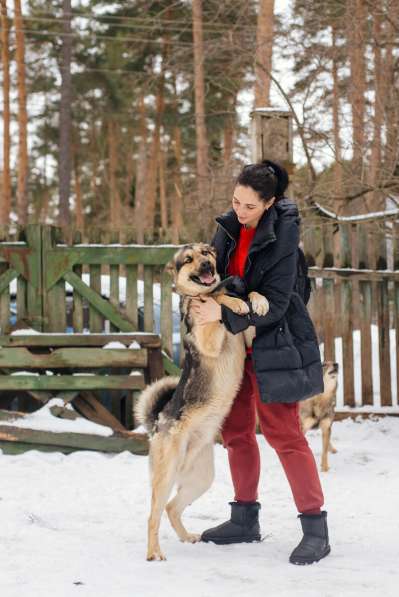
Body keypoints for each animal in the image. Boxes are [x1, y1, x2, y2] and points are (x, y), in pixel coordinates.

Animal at [136, 242, 270, 560]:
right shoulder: (208, 334)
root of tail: (157, 423)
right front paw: (231, 301)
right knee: (153, 515)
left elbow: (248, 302)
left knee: (172, 507)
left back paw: (187, 537)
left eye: (206, 252)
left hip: (200, 478)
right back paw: (154, 553)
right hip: (166, 475)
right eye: (189, 259)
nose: (208, 265)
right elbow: (218, 298)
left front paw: (256, 300)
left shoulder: (247, 335)